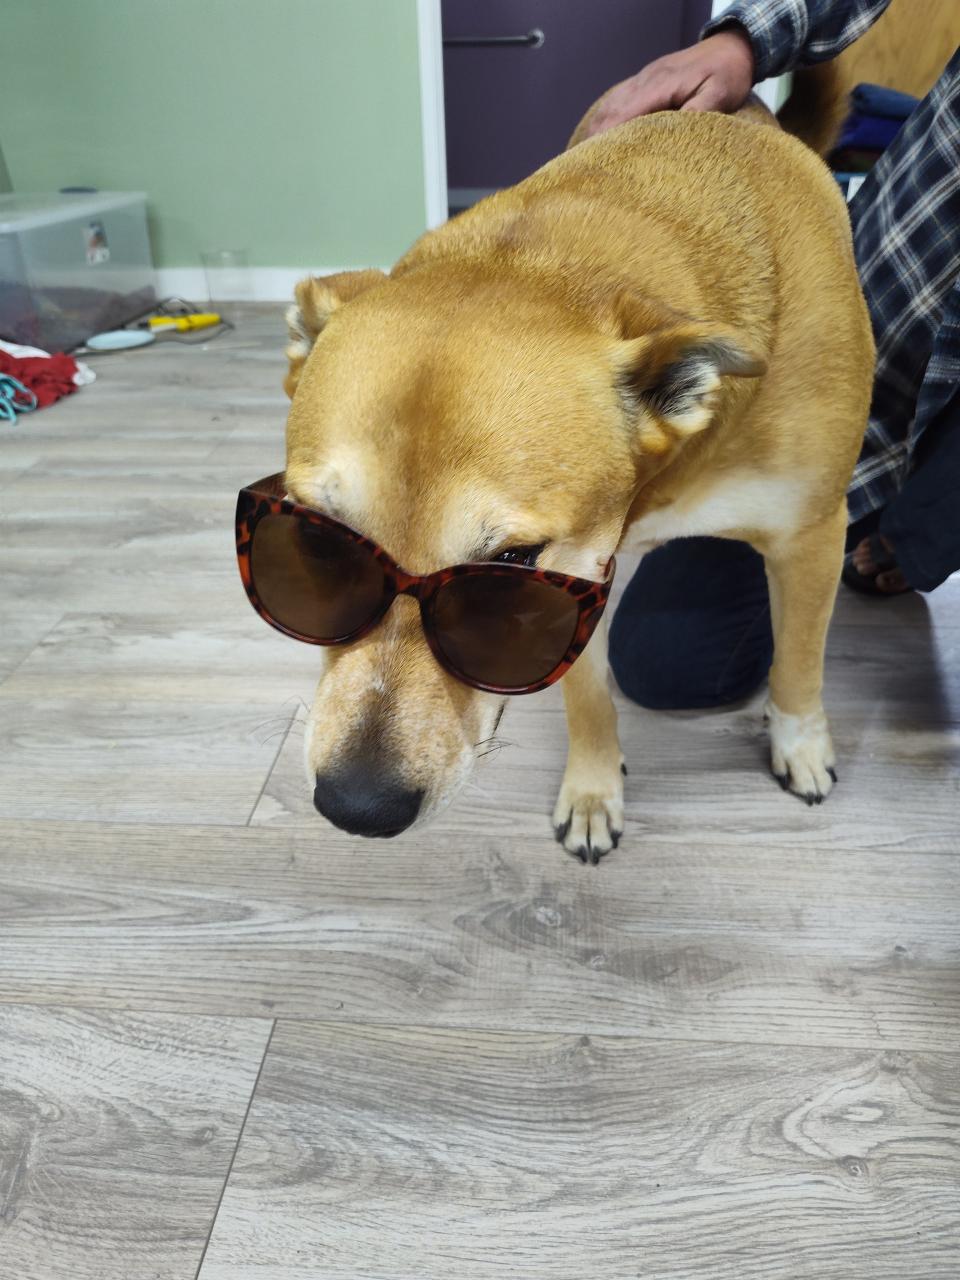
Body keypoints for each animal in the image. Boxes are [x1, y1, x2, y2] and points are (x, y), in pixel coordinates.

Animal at [281, 99, 875, 860]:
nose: (356, 806)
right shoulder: (580, 582)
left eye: (508, 566)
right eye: (319, 541)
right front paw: (593, 791)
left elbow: (798, 660)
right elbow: (587, 697)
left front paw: (800, 746)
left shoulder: (811, 534)